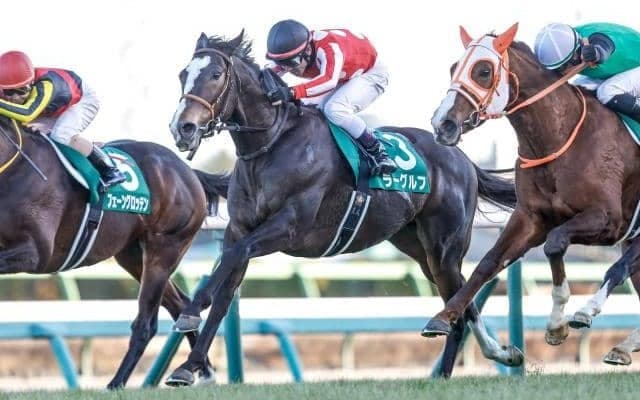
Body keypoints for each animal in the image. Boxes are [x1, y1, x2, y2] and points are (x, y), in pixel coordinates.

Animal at [0, 115, 229, 388]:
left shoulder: (36, 251)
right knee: (180, 305)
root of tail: (187, 171)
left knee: (145, 324)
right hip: (134, 258)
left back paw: (116, 383)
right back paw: (200, 371)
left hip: (164, 252)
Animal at [162, 30, 524, 385]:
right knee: (461, 298)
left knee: (460, 301)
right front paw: (188, 366)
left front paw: (190, 312)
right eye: (182, 75)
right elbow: (225, 292)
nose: (183, 128)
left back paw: (461, 365)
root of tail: (461, 157)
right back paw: (499, 353)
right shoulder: (239, 229)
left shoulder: (289, 226)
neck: (272, 143)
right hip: (418, 248)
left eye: (215, 74)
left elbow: (231, 260)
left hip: (444, 246)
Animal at [427, 23, 640, 365]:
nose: (442, 123)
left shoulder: (608, 219)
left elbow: (555, 244)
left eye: (483, 71)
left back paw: (589, 312)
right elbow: (488, 263)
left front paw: (560, 321)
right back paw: (622, 347)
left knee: (619, 268)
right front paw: (443, 317)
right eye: (452, 68)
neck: (558, 137)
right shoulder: (530, 219)